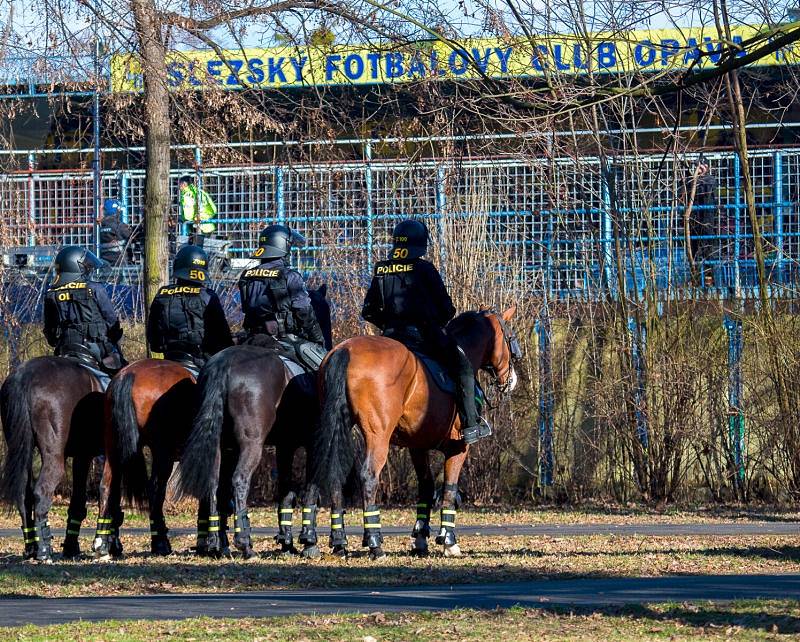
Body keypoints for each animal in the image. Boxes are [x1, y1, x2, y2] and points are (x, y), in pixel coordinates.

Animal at [0, 356, 105, 560]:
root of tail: (25, 375)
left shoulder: (82, 456)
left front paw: (71, 548)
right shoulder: (86, 456)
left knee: (24, 496)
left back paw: (31, 548)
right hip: (55, 458)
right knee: (41, 492)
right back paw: (44, 550)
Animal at [177, 284, 332, 556]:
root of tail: (224, 364)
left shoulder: (285, 445)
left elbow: (285, 490)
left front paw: (286, 541)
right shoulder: (313, 443)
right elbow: (309, 487)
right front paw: (308, 540)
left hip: (219, 445)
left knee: (214, 484)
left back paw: (218, 544)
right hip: (251, 444)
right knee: (239, 480)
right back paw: (244, 543)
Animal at [306, 304, 520, 556]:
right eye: (509, 337)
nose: (511, 380)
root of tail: (344, 350)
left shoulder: (417, 448)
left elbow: (426, 487)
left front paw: (420, 538)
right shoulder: (458, 448)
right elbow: (449, 490)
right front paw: (449, 541)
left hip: (333, 426)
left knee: (325, 470)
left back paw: (326, 541)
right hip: (378, 437)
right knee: (368, 475)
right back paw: (374, 542)